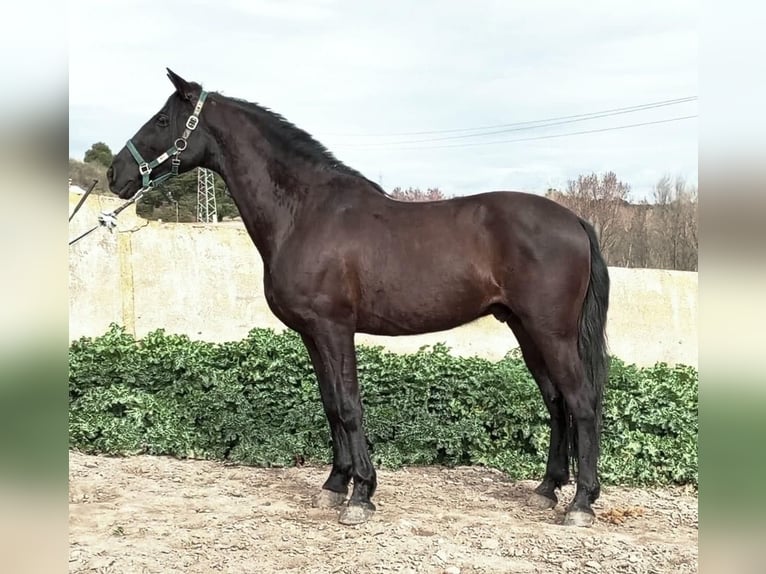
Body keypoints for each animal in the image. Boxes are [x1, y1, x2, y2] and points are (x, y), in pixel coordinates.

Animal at [109, 70, 612, 528]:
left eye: (161, 119)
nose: (115, 174)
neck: (304, 212)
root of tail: (575, 221)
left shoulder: (335, 327)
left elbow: (350, 406)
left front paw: (361, 496)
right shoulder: (312, 334)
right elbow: (332, 406)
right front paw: (335, 485)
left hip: (552, 332)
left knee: (582, 402)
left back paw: (581, 504)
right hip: (526, 330)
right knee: (556, 402)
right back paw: (546, 490)